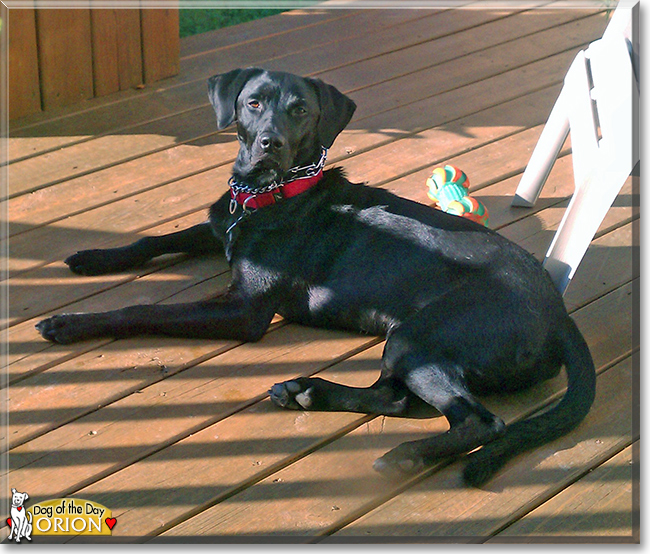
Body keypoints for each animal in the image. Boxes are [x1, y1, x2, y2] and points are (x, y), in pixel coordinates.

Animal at [35, 68, 592, 484]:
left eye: (300, 109)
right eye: (253, 103)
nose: (269, 144)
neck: (268, 194)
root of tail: (560, 314)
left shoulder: (244, 310)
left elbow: (145, 308)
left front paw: (71, 323)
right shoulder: (219, 227)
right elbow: (154, 240)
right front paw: (93, 255)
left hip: (420, 335)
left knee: (480, 420)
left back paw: (405, 454)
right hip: (410, 343)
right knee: (396, 396)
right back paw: (308, 393)